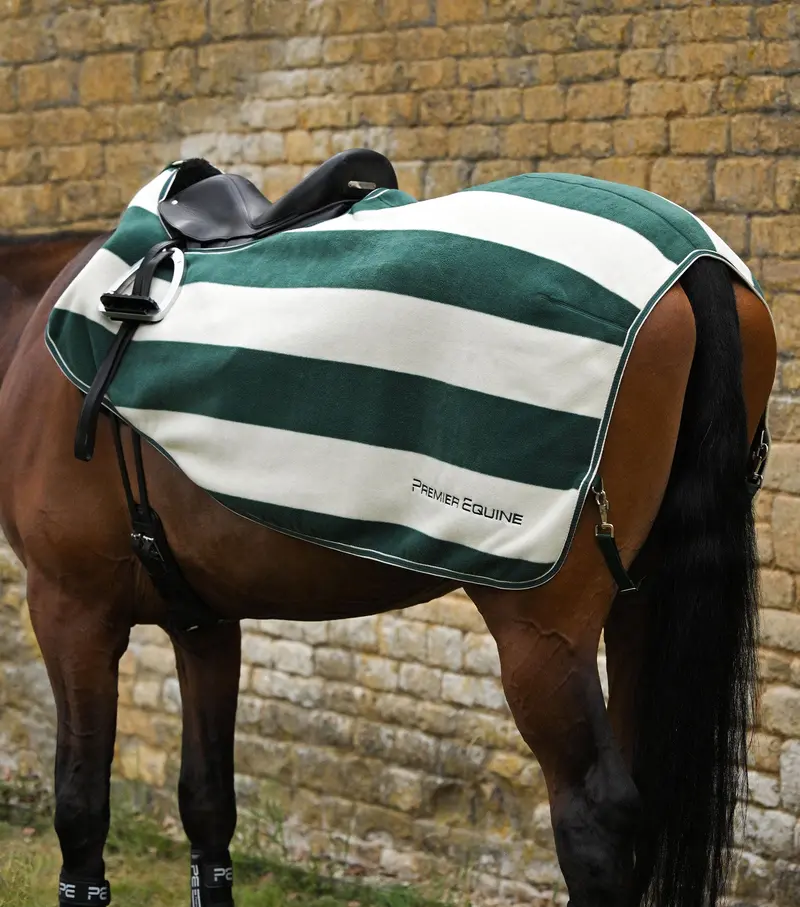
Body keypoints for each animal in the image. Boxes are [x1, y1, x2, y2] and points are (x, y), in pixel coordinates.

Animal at [0, 171, 777, 907]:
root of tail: (695, 263)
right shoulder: (205, 621)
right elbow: (208, 805)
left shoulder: (70, 609)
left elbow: (80, 810)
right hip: (641, 605)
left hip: (543, 633)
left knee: (597, 817)